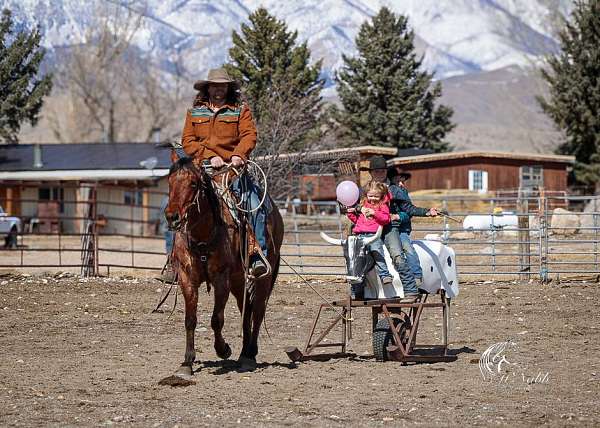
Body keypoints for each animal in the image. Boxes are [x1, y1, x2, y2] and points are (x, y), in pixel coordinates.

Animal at [163, 155, 284, 376]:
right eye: (170, 182)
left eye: (193, 183)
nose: (172, 217)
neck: (202, 234)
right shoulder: (186, 278)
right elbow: (190, 319)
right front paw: (187, 362)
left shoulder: (221, 279)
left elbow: (216, 319)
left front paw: (223, 349)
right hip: (238, 280)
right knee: (247, 310)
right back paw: (244, 353)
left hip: (263, 275)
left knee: (258, 310)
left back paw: (250, 355)